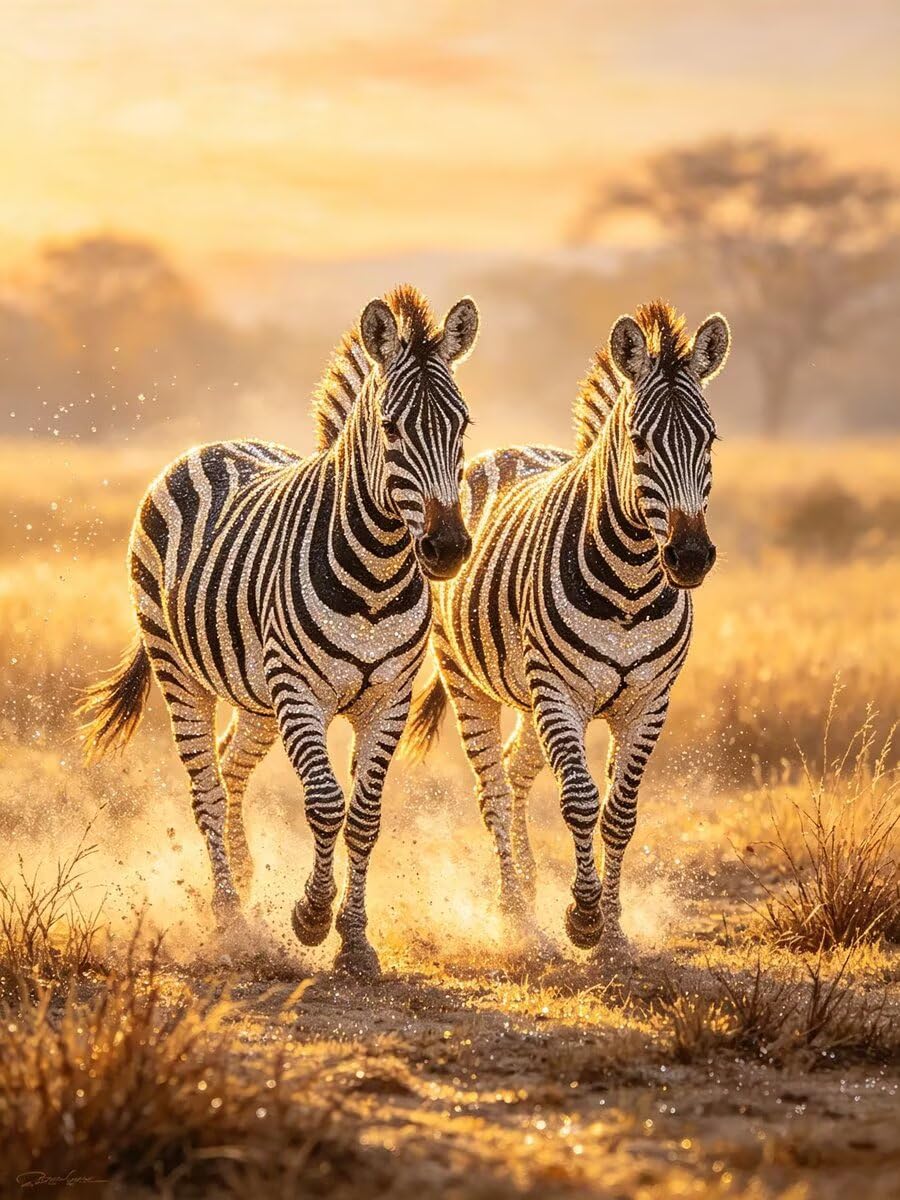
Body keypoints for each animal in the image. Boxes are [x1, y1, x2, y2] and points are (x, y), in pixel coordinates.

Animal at [78, 285, 479, 977]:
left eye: (462, 426)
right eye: (390, 427)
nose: (449, 548)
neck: (375, 576)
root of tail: (213, 445)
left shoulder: (388, 698)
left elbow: (364, 816)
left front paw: (356, 941)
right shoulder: (299, 690)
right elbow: (324, 803)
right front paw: (311, 918)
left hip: (256, 694)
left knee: (228, 767)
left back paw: (241, 877)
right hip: (181, 670)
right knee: (206, 789)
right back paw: (229, 916)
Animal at [401, 301, 730, 952]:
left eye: (709, 439)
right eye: (639, 441)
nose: (690, 558)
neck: (631, 585)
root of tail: (506, 451)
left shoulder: (649, 702)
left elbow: (621, 813)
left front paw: (616, 927)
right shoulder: (560, 693)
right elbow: (580, 800)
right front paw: (582, 917)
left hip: (530, 698)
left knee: (514, 771)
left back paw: (528, 891)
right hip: (471, 680)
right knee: (493, 789)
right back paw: (513, 911)